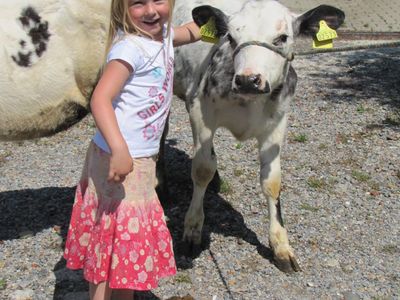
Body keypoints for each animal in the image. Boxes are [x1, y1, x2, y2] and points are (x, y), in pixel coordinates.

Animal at [171, 0, 344, 272]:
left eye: (282, 38)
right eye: (231, 38)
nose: (247, 80)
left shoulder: (276, 126)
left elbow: (272, 182)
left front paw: (281, 246)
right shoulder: (200, 112)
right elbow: (202, 169)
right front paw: (192, 231)